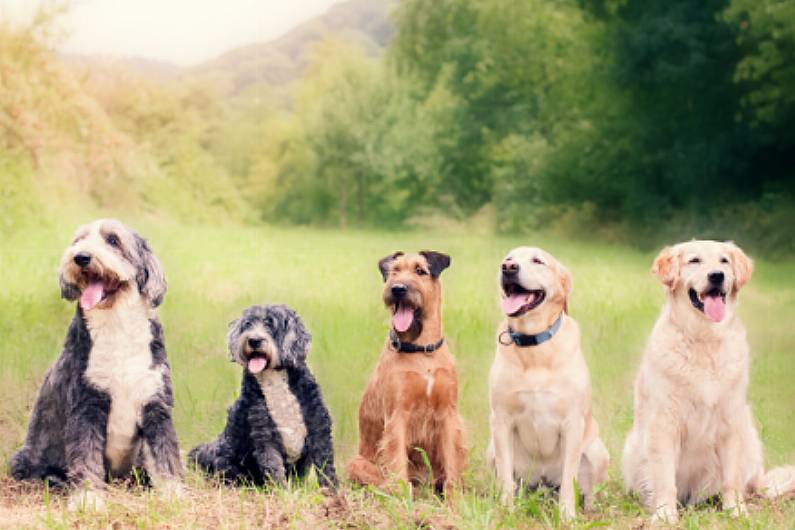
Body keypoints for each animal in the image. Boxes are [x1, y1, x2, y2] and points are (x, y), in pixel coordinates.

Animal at [8, 218, 183, 508]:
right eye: (79, 240)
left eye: (113, 240)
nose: (81, 257)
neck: (117, 326)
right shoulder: (86, 404)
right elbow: (86, 456)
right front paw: (87, 500)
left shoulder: (155, 404)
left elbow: (165, 454)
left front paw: (172, 494)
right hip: (24, 457)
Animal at [190, 302, 338, 486]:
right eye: (248, 324)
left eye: (270, 324)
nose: (254, 340)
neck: (274, 379)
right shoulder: (265, 435)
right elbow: (274, 469)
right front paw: (281, 492)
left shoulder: (318, 428)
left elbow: (326, 468)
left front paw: (332, 491)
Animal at [346, 250, 466, 492]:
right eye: (394, 271)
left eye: (420, 270)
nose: (398, 289)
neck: (422, 351)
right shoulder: (397, 415)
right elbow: (397, 463)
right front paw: (402, 498)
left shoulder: (448, 415)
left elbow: (451, 466)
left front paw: (455, 499)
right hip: (356, 463)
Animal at [486, 245, 608, 516]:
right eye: (508, 259)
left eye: (537, 261)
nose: (508, 268)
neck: (534, 346)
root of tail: (542, 483)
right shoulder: (501, 420)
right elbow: (505, 478)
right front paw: (506, 511)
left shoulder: (572, 423)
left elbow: (569, 481)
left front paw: (567, 515)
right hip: (491, 451)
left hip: (597, 452)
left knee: (588, 490)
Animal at [620, 239, 795, 520]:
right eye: (694, 260)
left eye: (724, 261)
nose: (716, 276)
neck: (704, 338)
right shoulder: (664, 422)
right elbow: (664, 477)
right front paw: (665, 514)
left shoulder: (731, 420)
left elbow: (731, 478)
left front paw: (736, 511)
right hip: (632, 447)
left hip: (750, 438)